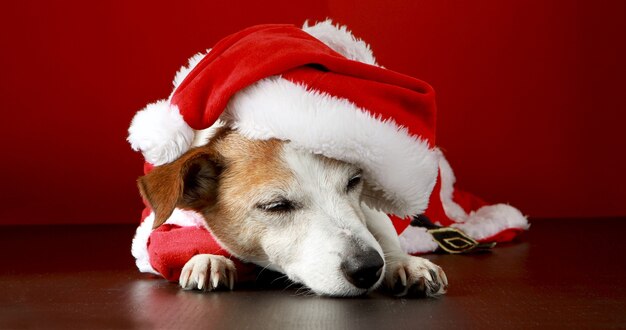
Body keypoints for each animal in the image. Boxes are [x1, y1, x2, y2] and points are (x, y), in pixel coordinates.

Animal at [138, 127, 446, 298]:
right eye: (276, 206)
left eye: (354, 181)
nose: (369, 268)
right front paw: (207, 259)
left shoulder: (367, 210)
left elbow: (382, 236)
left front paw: (403, 263)